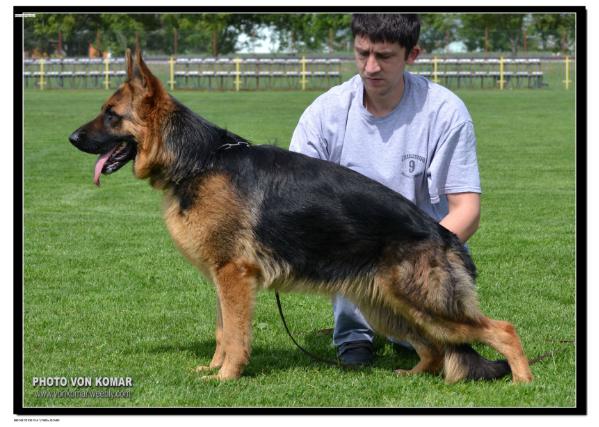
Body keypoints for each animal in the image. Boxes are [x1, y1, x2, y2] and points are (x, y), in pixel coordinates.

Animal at [69, 49, 536, 384]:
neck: (199, 160)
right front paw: (214, 368)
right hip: (390, 305)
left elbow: (235, 334)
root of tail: (443, 236)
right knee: (435, 349)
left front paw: (226, 377)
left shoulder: (233, 277)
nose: (71, 138)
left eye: (111, 114)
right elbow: (223, 330)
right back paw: (412, 375)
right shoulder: (222, 278)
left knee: (503, 329)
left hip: (424, 303)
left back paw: (523, 383)